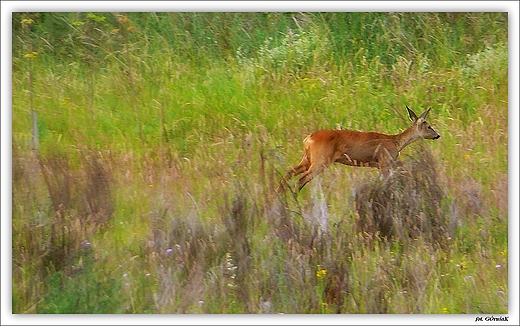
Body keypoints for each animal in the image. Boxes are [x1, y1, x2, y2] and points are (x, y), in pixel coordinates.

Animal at [276, 105, 438, 192]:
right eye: (429, 126)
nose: (438, 135)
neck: (396, 142)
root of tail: (308, 138)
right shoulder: (385, 161)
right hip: (320, 160)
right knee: (301, 180)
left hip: (307, 158)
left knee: (289, 172)